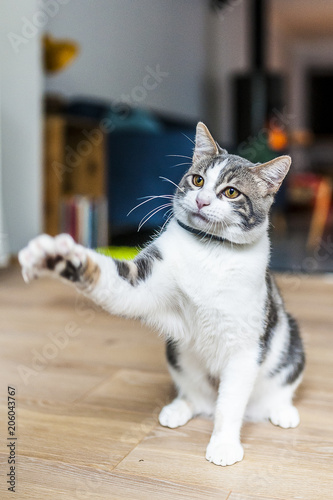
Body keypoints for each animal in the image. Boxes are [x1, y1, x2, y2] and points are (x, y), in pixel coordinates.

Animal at [18, 123, 304, 466]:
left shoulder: (246, 345)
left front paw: (223, 444)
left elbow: (231, 402)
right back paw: (180, 407)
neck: (211, 249)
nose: (202, 200)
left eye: (231, 192)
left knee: (272, 389)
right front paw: (57, 257)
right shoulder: (146, 282)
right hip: (177, 353)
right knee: (196, 394)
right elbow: (113, 281)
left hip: (291, 346)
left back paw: (282, 410)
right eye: (198, 180)